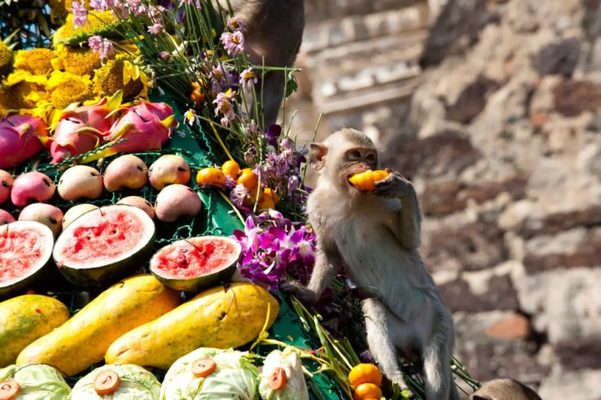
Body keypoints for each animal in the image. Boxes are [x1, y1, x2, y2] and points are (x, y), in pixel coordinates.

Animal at [282, 128, 460, 400]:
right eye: (354, 154)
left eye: (370, 157)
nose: (366, 166)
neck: (348, 199)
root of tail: (411, 343)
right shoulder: (316, 205)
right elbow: (330, 253)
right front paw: (309, 294)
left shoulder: (385, 201)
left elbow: (408, 241)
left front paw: (404, 187)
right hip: (399, 334)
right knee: (374, 307)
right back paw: (398, 379)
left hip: (436, 320)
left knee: (436, 361)